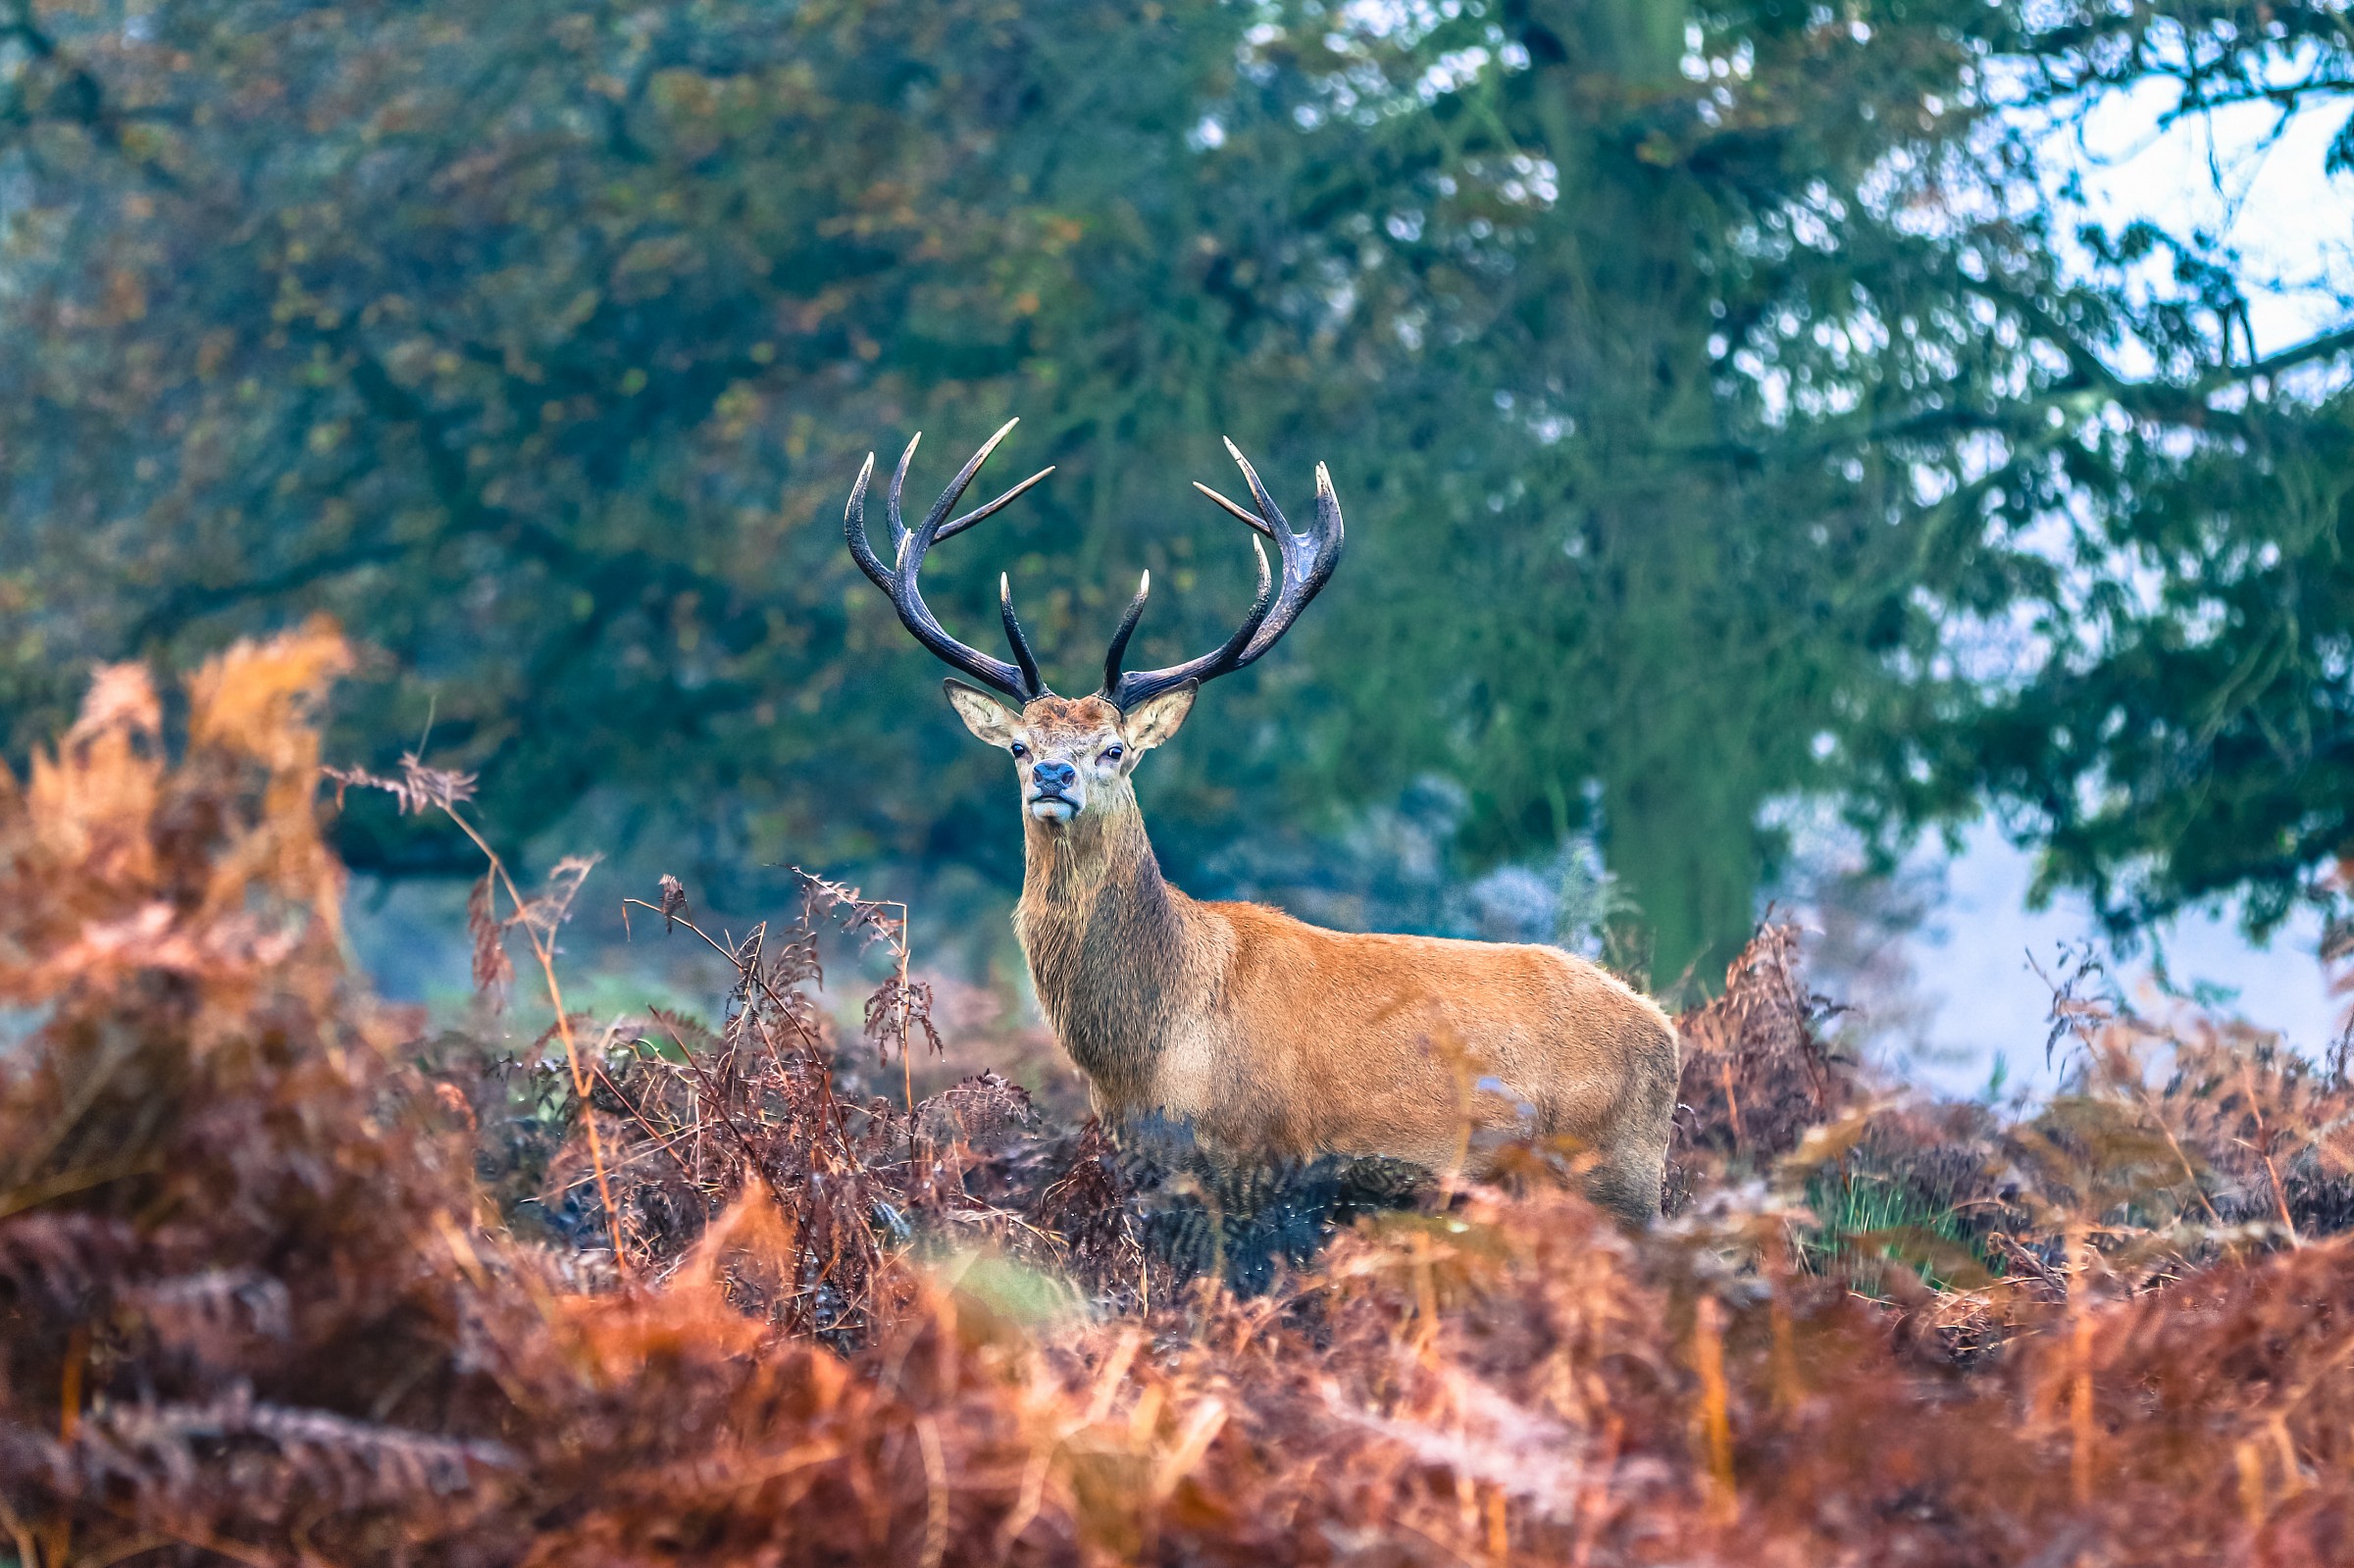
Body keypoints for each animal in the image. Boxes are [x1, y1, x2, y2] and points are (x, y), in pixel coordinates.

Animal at [843, 420, 1680, 1224]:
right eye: (1020, 745)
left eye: (1114, 748)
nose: (1053, 775)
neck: (1153, 1054)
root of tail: (1666, 1032)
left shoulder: (1272, 1159)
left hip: (1617, 1171)